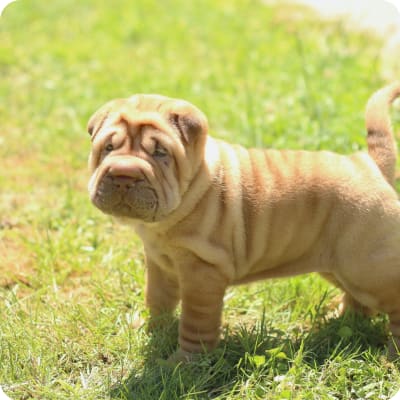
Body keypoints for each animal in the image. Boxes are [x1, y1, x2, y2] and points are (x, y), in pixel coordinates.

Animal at [86, 83, 400, 360]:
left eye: (160, 152)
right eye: (108, 147)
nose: (124, 174)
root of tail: (369, 164)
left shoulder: (202, 274)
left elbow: (195, 323)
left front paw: (183, 363)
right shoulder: (159, 262)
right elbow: (157, 299)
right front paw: (151, 332)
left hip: (367, 264)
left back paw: (390, 356)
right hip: (340, 266)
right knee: (360, 301)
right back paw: (340, 321)